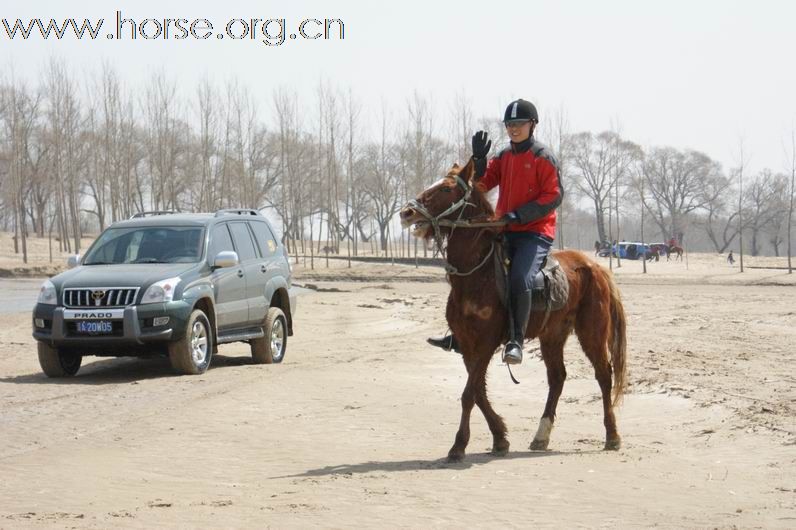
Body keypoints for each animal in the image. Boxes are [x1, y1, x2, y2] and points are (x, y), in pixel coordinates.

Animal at [398, 159, 628, 460]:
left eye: (446, 189)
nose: (406, 212)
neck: (477, 274)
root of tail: (597, 268)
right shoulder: (467, 344)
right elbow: (478, 390)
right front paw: (499, 438)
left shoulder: (486, 341)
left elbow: (469, 394)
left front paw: (459, 445)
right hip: (552, 335)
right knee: (557, 378)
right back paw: (541, 435)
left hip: (592, 333)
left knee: (603, 375)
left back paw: (612, 435)